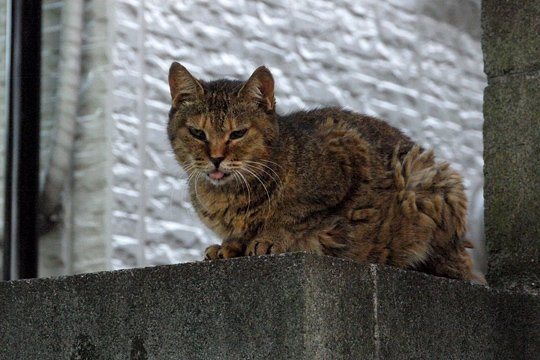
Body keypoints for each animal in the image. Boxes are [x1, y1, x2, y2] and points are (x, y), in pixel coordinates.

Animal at [166, 63, 486, 286]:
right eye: (197, 133)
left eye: (238, 134)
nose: (216, 158)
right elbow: (237, 236)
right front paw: (229, 247)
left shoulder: (346, 155)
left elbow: (293, 214)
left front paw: (270, 237)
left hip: (426, 180)